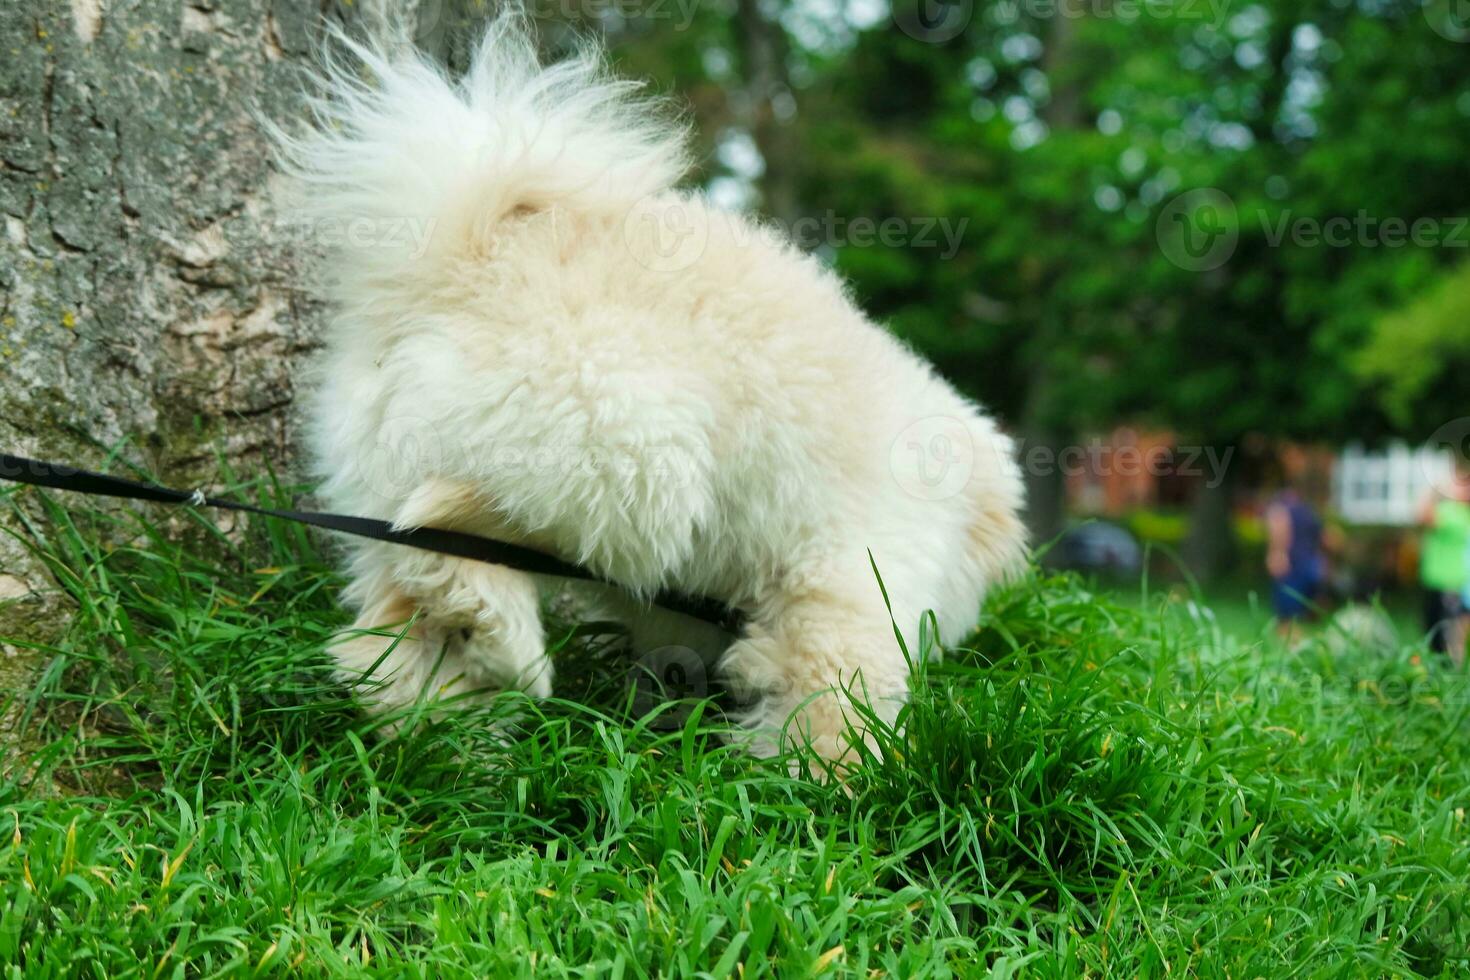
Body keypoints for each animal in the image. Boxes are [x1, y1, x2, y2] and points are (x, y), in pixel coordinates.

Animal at [280, 17, 1029, 764]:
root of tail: (467, 263)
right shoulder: (849, 584)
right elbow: (837, 697)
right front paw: (827, 775)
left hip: (393, 467)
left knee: (396, 620)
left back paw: (449, 729)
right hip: (632, 460)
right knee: (444, 520)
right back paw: (506, 646)